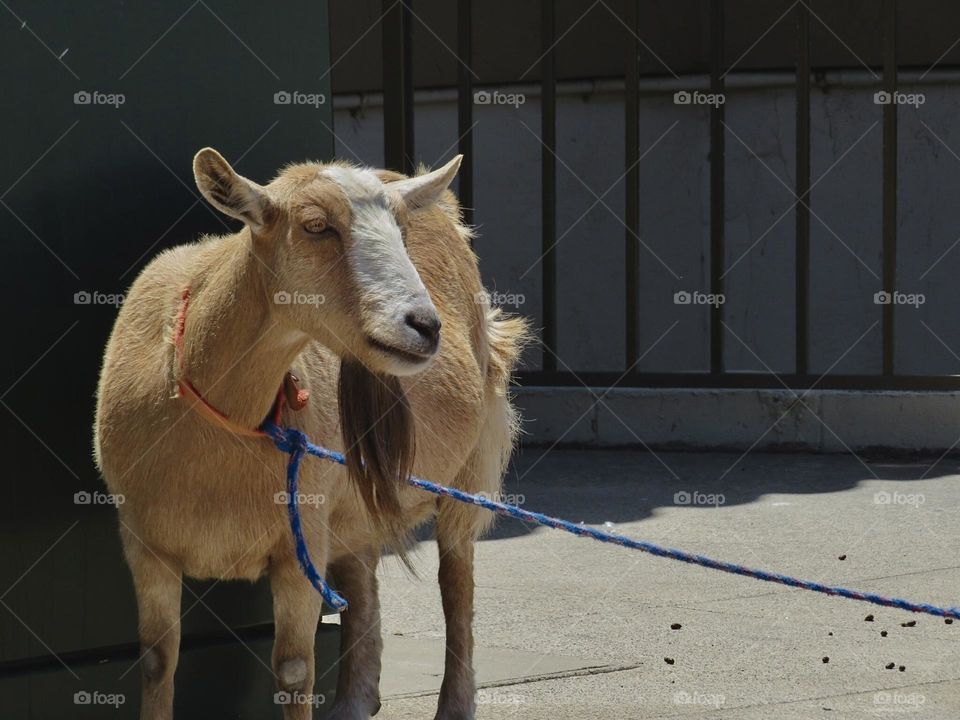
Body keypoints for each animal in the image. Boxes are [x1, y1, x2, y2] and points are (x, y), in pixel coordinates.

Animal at [94, 148, 528, 720]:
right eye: (316, 226)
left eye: (401, 230)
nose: (425, 325)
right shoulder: (145, 544)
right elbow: (156, 661)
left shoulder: (299, 541)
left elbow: (294, 669)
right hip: (348, 501)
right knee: (362, 578)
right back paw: (354, 701)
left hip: (471, 460)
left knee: (456, 578)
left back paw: (453, 704)